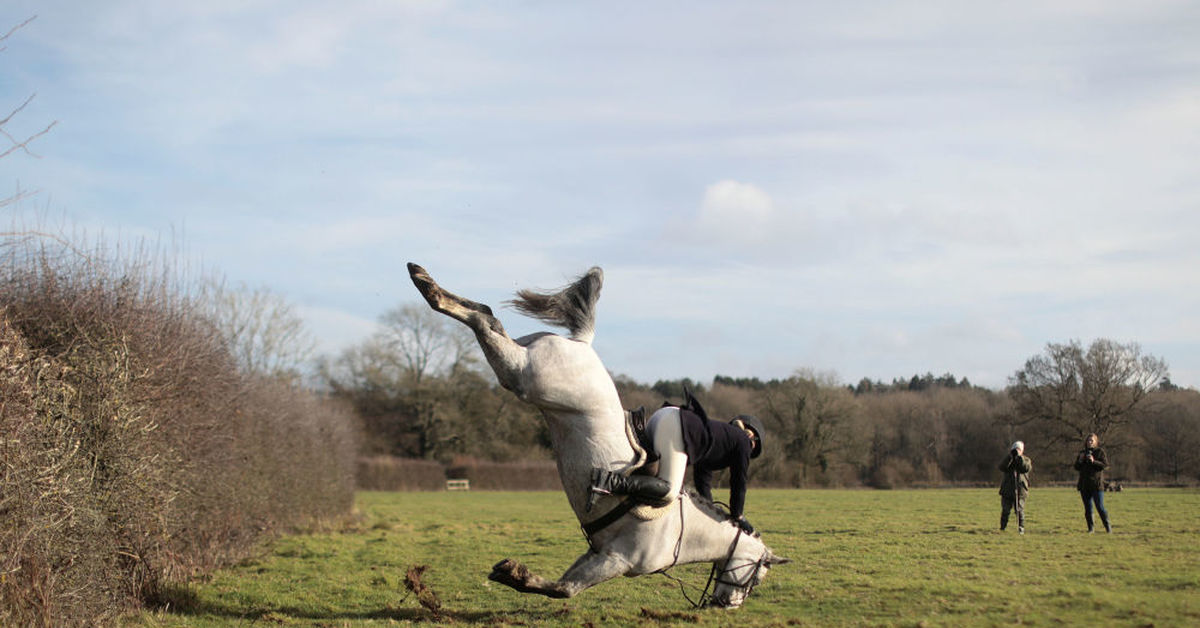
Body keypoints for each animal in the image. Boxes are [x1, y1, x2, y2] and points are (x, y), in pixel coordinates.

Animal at [408, 261, 792, 609]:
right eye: (758, 576)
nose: (727, 605)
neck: (682, 533)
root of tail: (582, 342)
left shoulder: (597, 553)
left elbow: (564, 585)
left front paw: (514, 574)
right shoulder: (616, 560)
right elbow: (563, 590)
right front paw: (513, 573)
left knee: (487, 314)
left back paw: (424, 279)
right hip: (525, 377)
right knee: (487, 322)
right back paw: (427, 285)